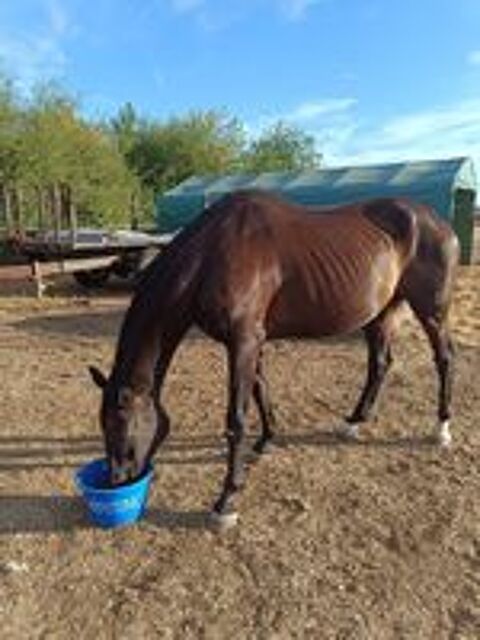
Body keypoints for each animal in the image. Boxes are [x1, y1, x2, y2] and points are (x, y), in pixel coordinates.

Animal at [89, 190, 459, 526]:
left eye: (120, 424)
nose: (116, 481)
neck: (212, 253)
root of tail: (439, 223)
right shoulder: (254, 342)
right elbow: (260, 389)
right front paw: (267, 440)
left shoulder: (243, 341)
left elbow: (237, 418)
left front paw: (227, 500)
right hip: (380, 313)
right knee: (380, 364)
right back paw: (354, 422)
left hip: (432, 311)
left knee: (444, 359)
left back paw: (441, 429)